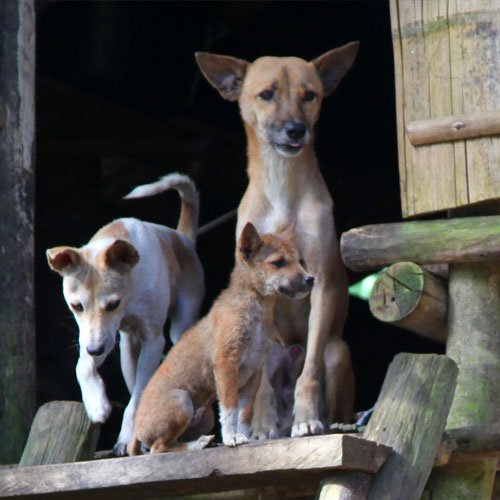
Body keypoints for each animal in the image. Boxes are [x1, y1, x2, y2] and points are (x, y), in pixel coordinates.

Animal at [46, 174, 204, 456]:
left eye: (113, 304)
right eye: (76, 306)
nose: (95, 350)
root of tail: (182, 238)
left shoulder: (152, 341)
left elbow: (138, 397)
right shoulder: (103, 338)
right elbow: (82, 366)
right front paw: (96, 404)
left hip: (179, 326)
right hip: (127, 351)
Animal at [129, 223, 312, 454]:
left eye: (300, 261)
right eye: (278, 262)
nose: (310, 279)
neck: (256, 310)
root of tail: (136, 431)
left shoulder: (254, 374)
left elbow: (245, 413)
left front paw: (244, 436)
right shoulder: (226, 365)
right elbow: (229, 409)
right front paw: (231, 437)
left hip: (204, 416)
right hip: (182, 401)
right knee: (159, 448)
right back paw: (197, 444)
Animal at [196, 43, 360, 438]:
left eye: (310, 95)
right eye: (267, 94)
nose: (296, 130)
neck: (282, 182)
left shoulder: (323, 283)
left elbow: (309, 374)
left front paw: (307, 419)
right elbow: (261, 386)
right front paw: (261, 425)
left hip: (338, 351)